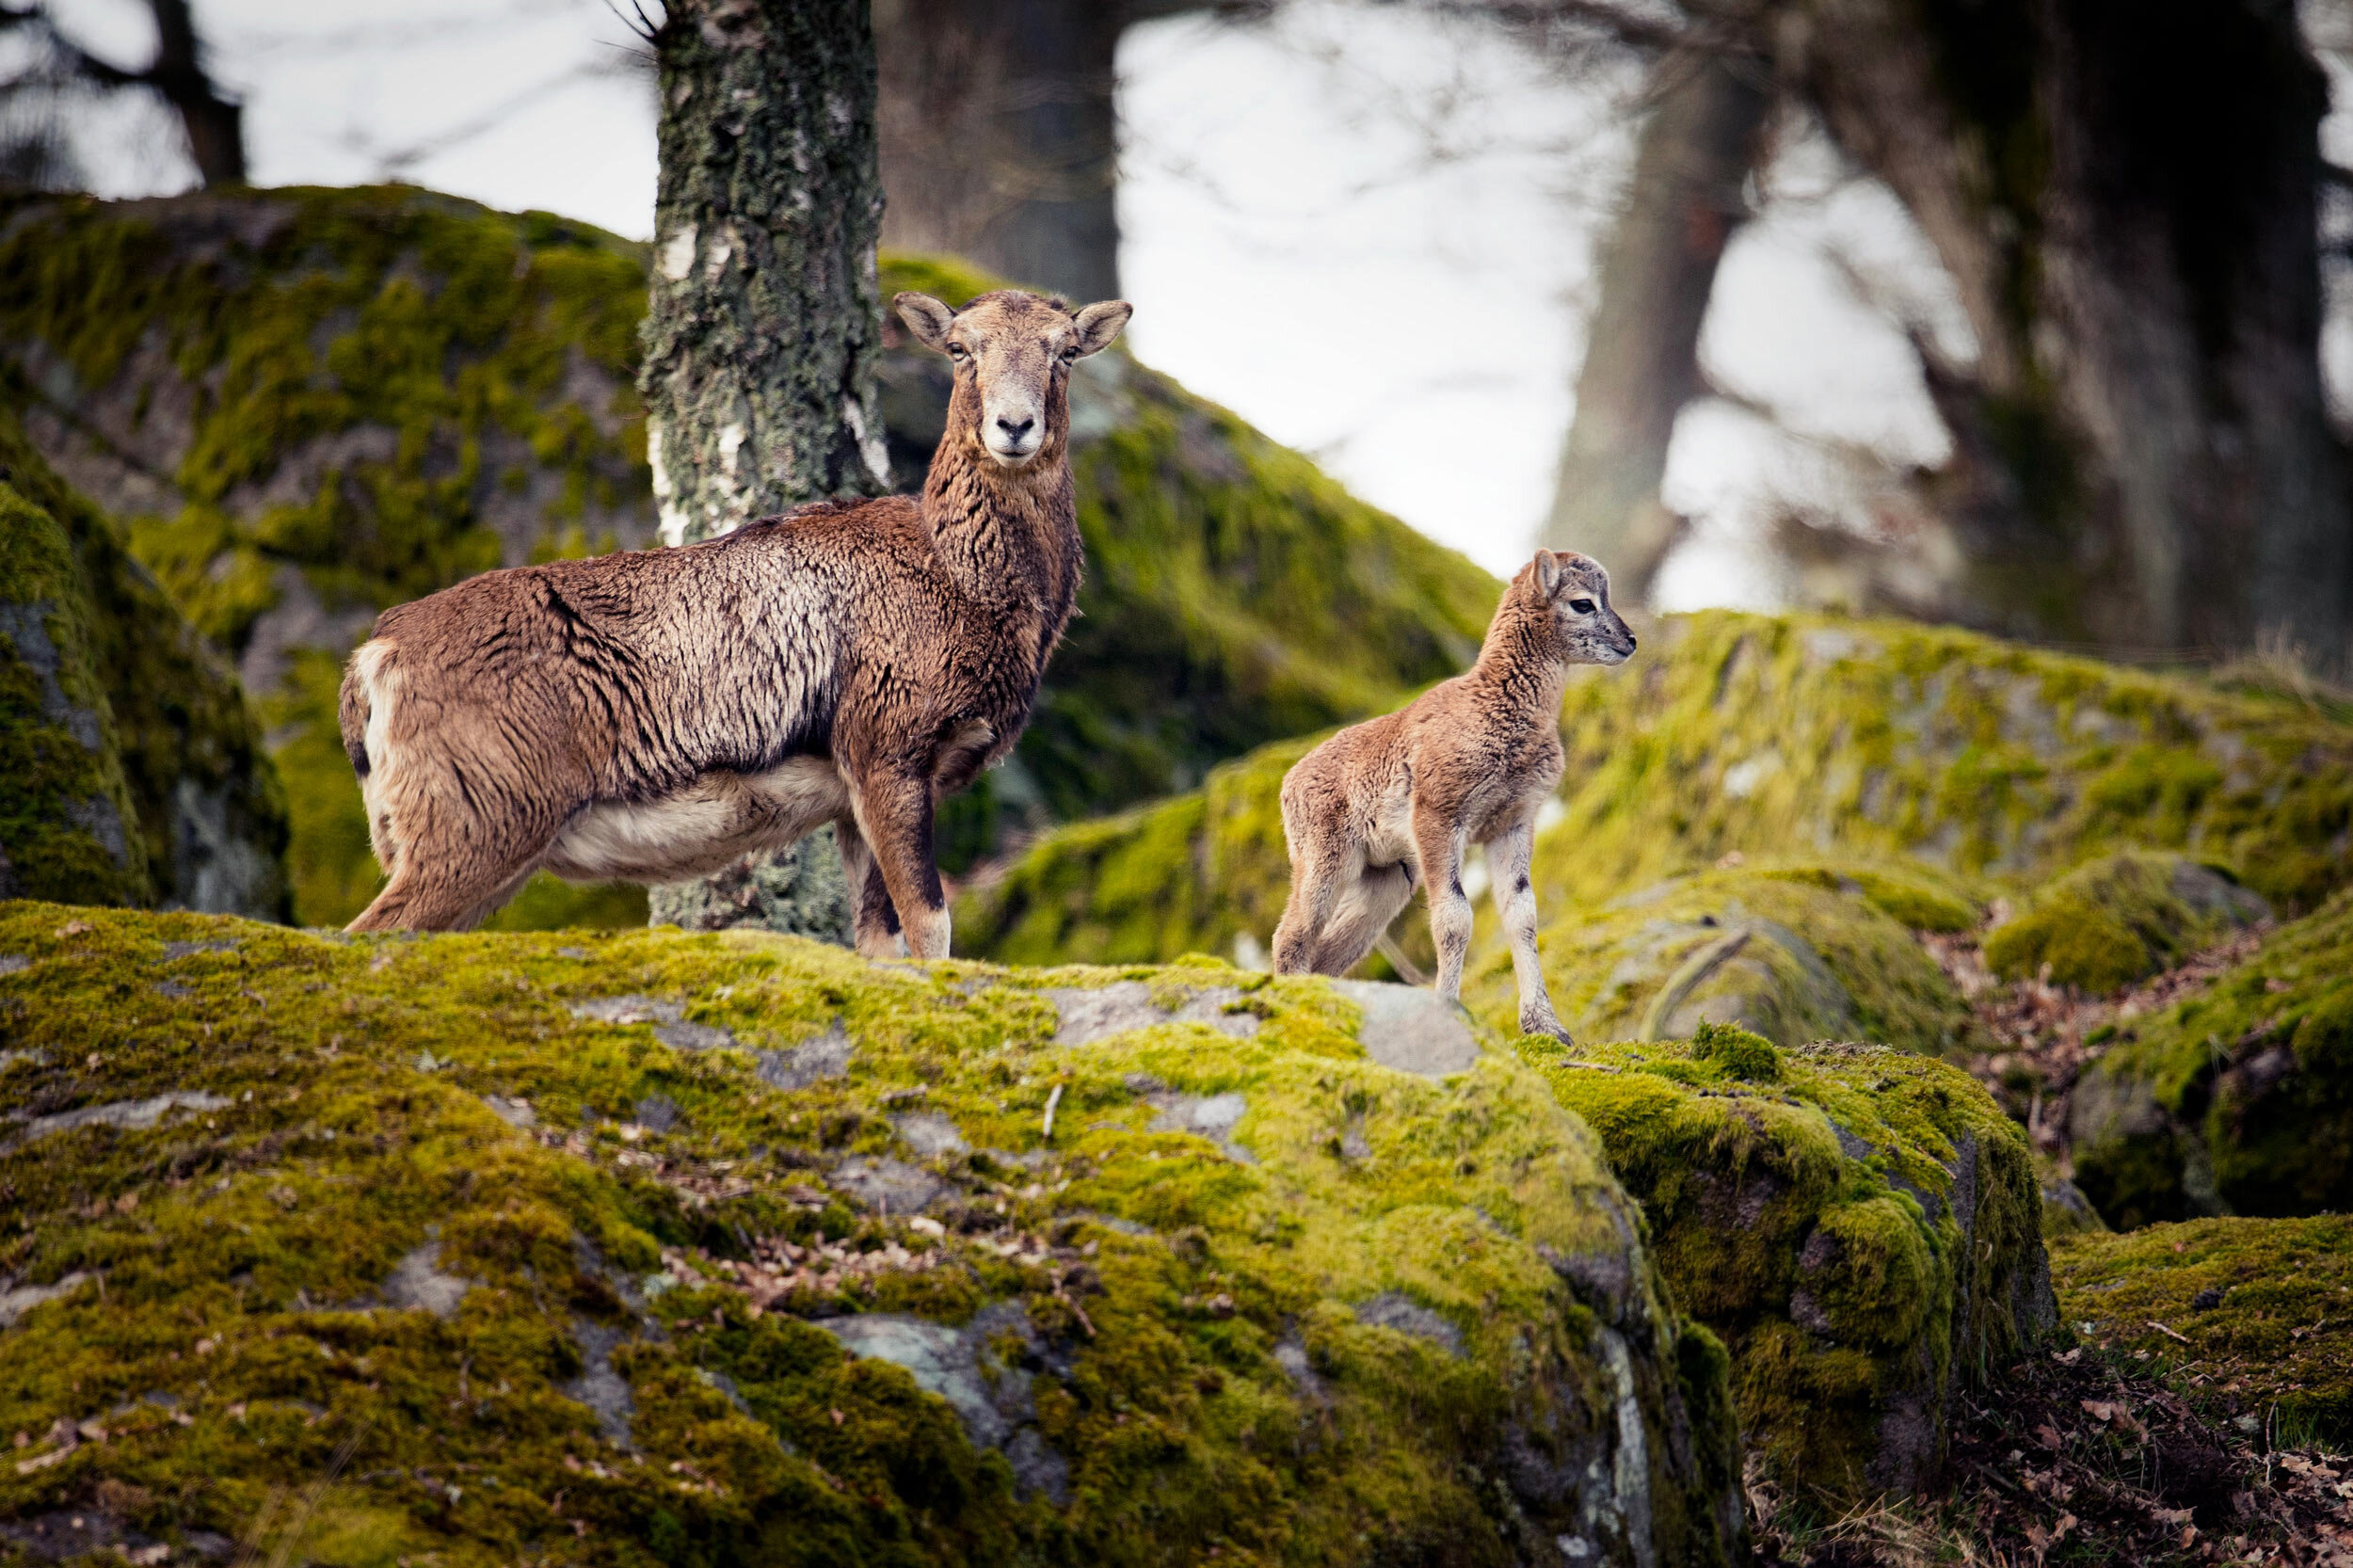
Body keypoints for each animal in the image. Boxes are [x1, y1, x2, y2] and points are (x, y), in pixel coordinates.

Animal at [339, 285, 1129, 946]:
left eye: (1064, 350)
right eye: (962, 349)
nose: (1014, 426)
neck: (958, 577)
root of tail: (376, 660)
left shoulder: (859, 801)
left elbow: (878, 943)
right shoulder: (888, 757)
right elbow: (930, 928)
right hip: (474, 831)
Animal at [1271, 548, 1638, 1035]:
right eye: (1583, 603)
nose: (1630, 641)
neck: (1496, 709)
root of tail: (1289, 783)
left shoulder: (1512, 825)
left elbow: (1522, 915)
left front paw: (1547, 1027)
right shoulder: (1440, 819)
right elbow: (1454, 919)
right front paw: (1448, 1007)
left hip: (1386, 880)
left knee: (1332, 950)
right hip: (1324, 863)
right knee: (1292, 935)